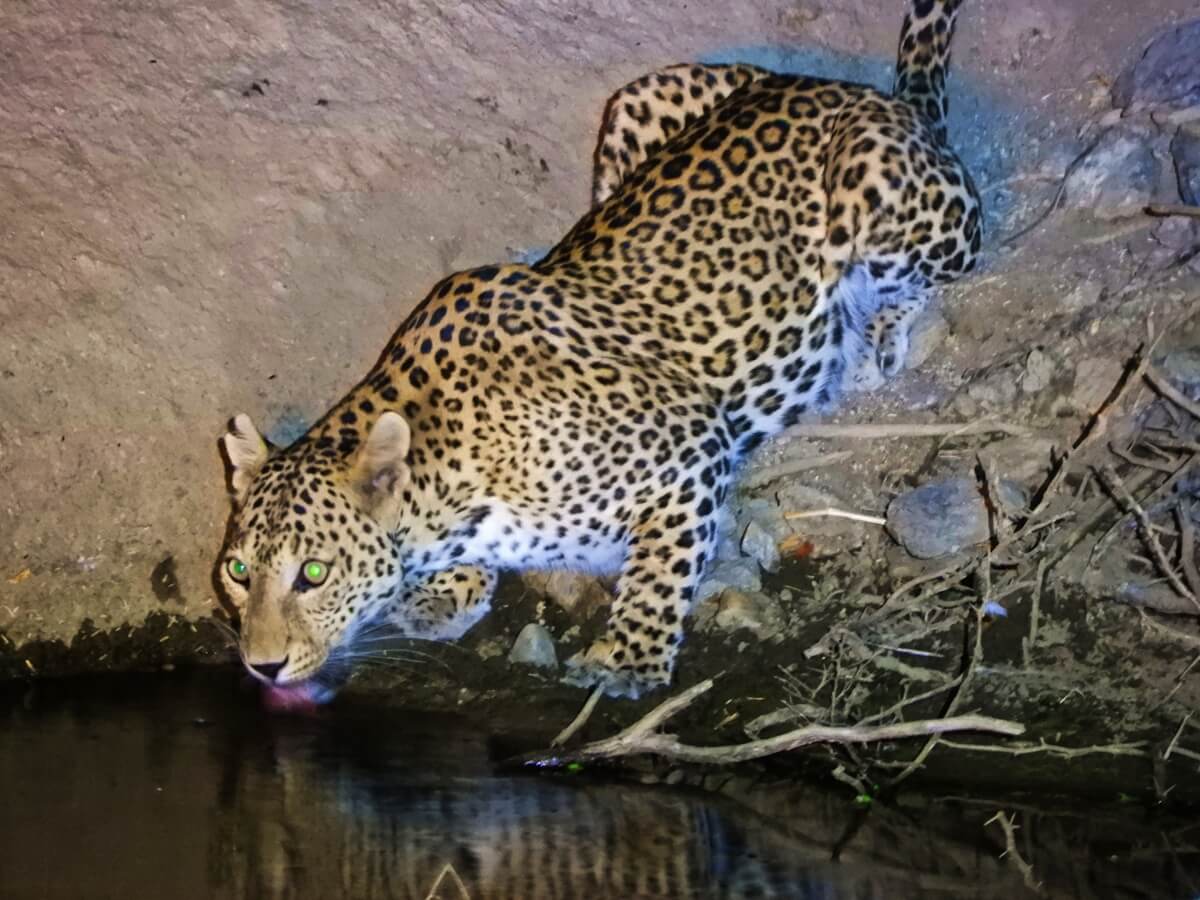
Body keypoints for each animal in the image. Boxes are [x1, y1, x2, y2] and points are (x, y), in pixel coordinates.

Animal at [216, 0, 981, 703]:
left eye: (313, 574)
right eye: (237, 571)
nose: (260, 666)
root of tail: (858, 91)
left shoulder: (691, 448)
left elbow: (660, 568)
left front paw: (630, 659)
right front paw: (446, 589)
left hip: (879, 194)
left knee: (950, 261)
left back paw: (876, 334)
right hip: (637, 106)